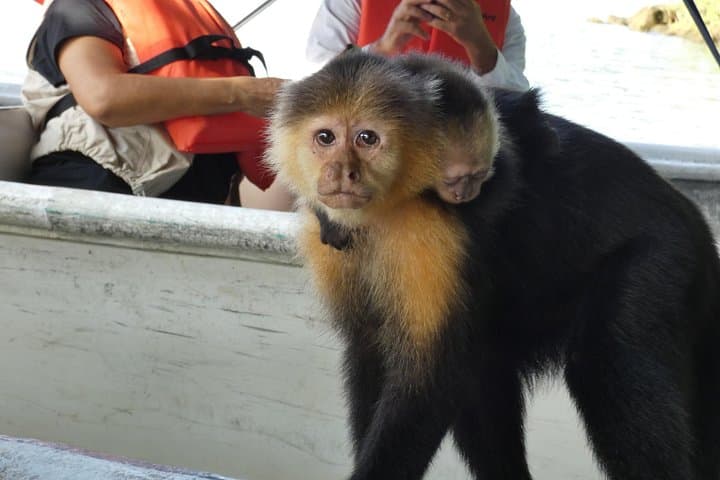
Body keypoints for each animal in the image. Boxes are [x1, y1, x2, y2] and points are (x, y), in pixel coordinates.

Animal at [264, 50, 720, 480]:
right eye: (325, 138)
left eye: (367, 138)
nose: (343, 173)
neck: (389, 207)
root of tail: (695, 221)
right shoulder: (326, 234)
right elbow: (370, 348)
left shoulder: (433, 230)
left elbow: (432, 376)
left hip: (662, 256)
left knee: (607, 358)